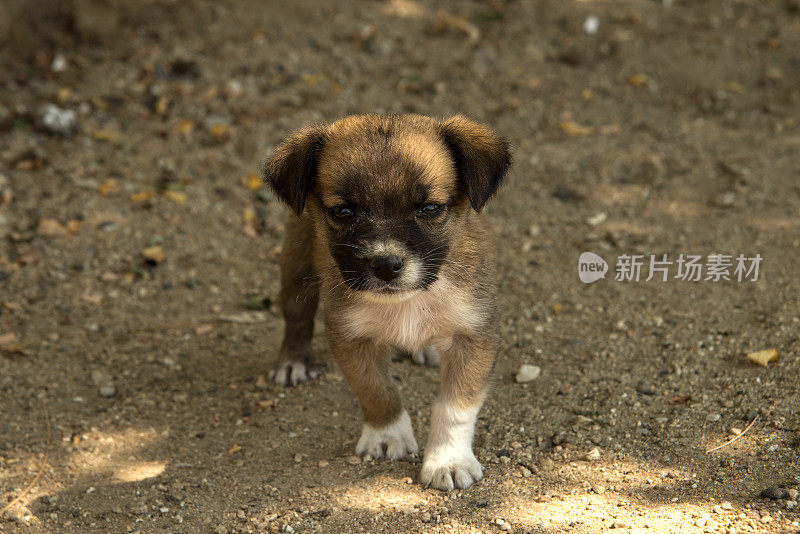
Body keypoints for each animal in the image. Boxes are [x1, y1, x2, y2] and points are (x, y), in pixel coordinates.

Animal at [262, 115, 512, 492]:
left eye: (430, 208)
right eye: (343, 211)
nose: (385, 265)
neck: (409, 301)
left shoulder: (474, 334)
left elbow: (455, 407)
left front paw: (448, 460)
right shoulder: (352, 336)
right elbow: (376, 390)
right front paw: (387, 435)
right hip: (296, 265)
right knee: (297, 317)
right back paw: (293, 360)